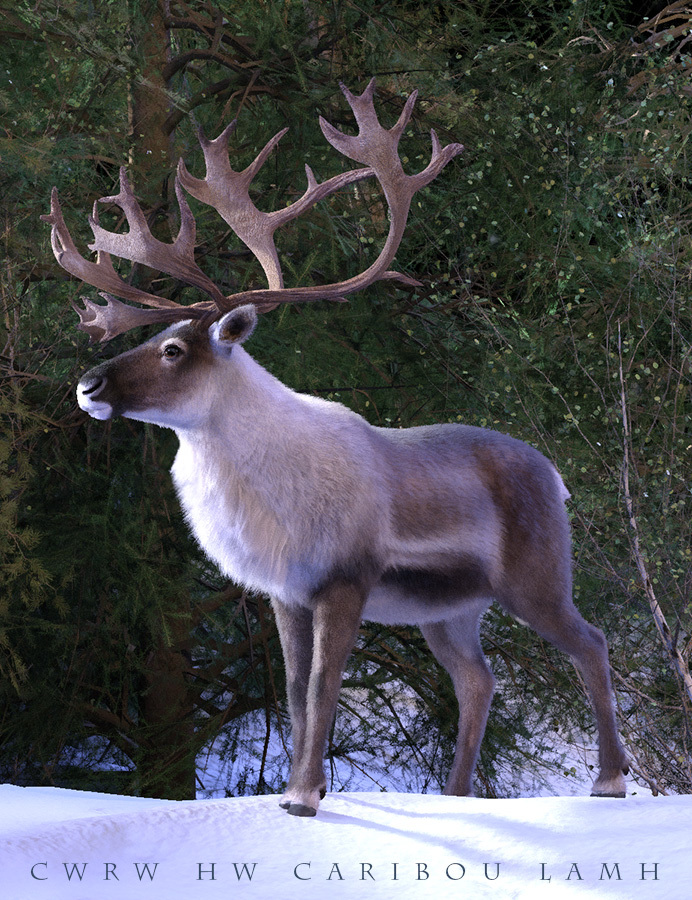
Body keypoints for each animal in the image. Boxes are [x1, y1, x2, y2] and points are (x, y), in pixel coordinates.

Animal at [43, 81, 629, 816]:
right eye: (154, 336)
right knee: (478, 680)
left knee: (593, 643)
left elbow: (323, 690)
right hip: (451, 608)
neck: (266, 496)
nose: (87, 385)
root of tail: (555, 474)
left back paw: (609, 780)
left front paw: (302, 797)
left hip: (536, 577)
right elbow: (295, 696)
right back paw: (458, 797)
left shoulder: (345, 579)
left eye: (175, 348)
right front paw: (299, 791)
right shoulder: (285, 593)